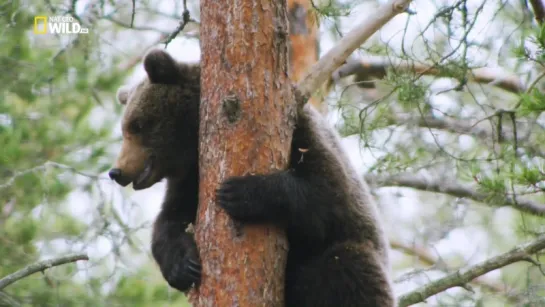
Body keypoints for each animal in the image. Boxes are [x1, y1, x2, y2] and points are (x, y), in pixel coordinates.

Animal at [108, 49, 394, 306]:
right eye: (126, 128)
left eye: (137, 125)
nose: (116, 172)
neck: (194, 150)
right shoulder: (189, 180)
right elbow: (170, 219)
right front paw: (182, 266)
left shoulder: (303, 136)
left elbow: (326, 194)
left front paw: (238, 193)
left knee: (347, 268)